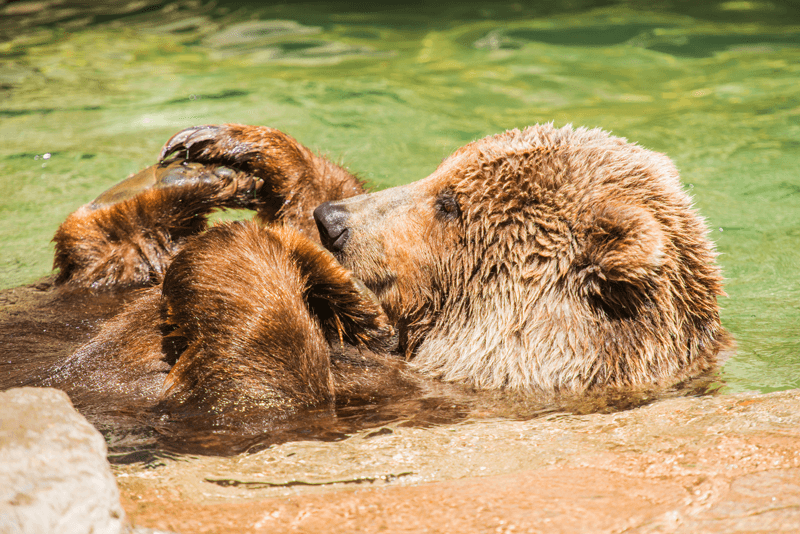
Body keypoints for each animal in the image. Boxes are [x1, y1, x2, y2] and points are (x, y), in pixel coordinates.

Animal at [17, 123, 732, 442]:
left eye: (449, 203)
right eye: (441, 173)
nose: (333, 222)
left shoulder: (402, 397)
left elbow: (255, 394)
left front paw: (247, 249)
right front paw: (252, 157)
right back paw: (183, 178)